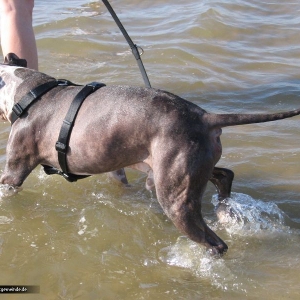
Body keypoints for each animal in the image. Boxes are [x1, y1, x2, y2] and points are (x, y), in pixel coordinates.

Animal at [0, 54, 300, 255]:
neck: (29, 92)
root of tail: (204, 116)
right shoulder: (114, 166)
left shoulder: (13, 173)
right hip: (189, 166)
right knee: (225, 174)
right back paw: (226, 210)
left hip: (175, 194)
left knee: (216, 243)